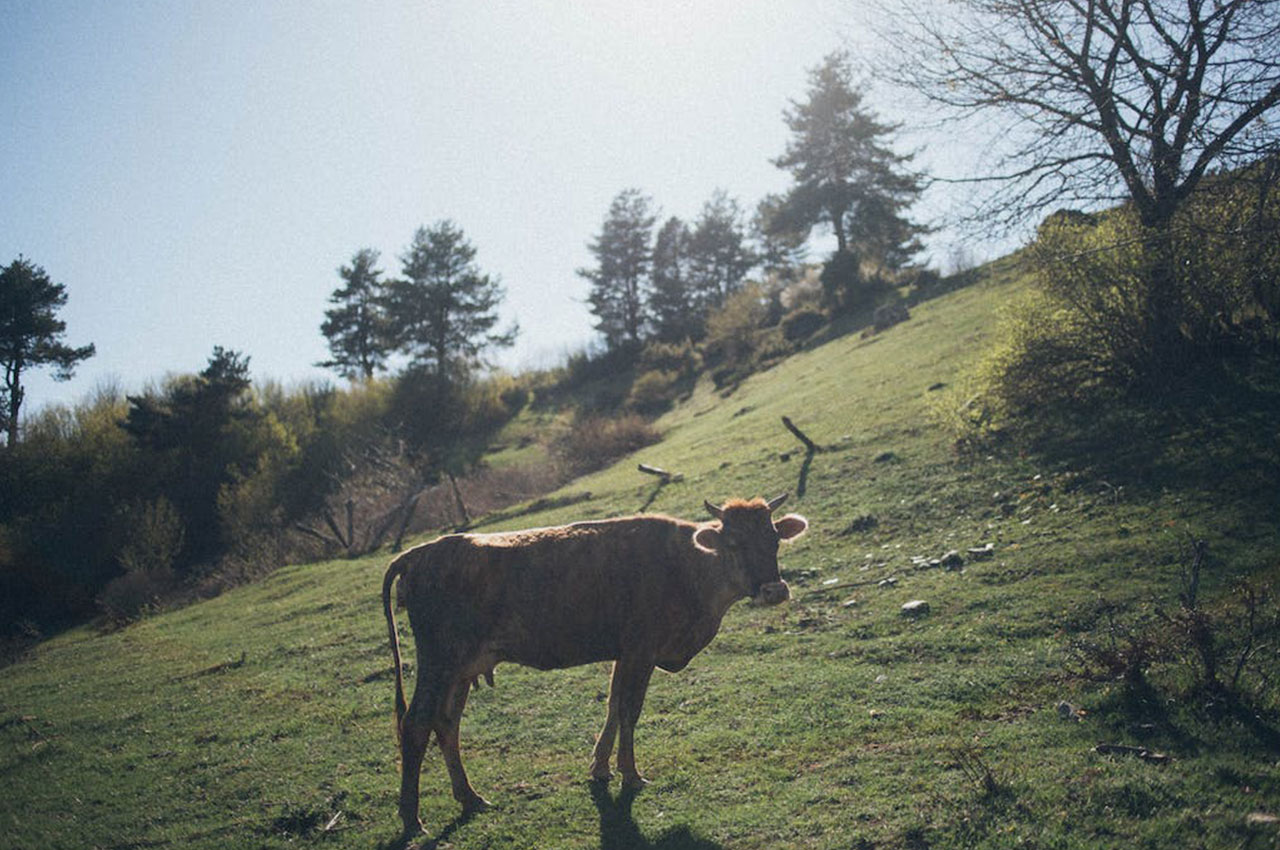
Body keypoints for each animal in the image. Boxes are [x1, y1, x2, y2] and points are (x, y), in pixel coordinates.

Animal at [373, 491, 808, 834]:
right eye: (732, 543)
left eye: (773, 539)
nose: (773, 590)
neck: (686, 566)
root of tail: (421, 553)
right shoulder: (640, 650)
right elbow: (630, 710)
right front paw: (631, 774)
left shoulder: (625, 653)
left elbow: (613, 707)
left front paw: (601, 767)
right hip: (440, 662)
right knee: (416, 725)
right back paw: (412, 819)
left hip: (461, 670)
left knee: (445, 724)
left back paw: (470, 797)